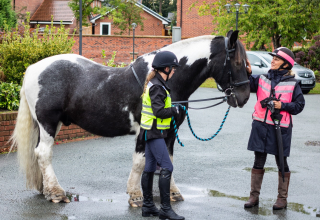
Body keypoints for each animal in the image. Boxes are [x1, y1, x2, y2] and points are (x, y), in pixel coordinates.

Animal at [10, 30, 250, 204]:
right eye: (237, 62)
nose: (244, 96)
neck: (163, 80)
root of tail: (33, 68)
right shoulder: (144, 130)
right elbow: (139, 161)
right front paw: (135, 195)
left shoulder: (169, 132)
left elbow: (168, 161)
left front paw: (173, 193)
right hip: (48, 123)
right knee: (43, 153)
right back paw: (56, 192)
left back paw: (45, 189)